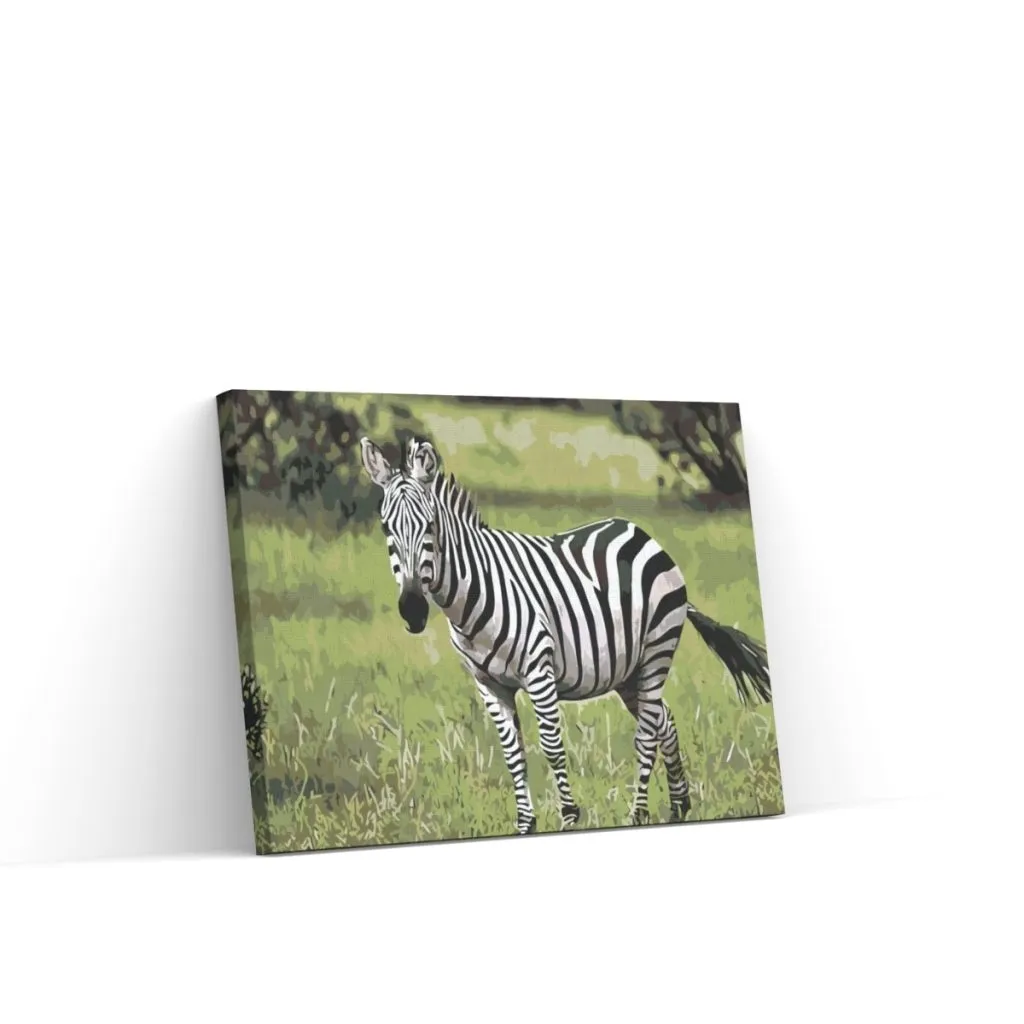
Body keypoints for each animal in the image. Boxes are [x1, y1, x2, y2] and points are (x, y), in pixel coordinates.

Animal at [360, 435, 772, 834]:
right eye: (386, 528)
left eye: (430, 526)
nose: (413, 609)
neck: (471, 595)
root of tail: (641, 533)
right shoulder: (488, 684)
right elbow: (513, 754)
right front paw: (525, 824)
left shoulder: (539, 671)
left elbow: (552, 746)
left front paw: (570, 817)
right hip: (629, 670)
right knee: (662, 721)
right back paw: (678, 806)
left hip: (658, 649)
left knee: (646, 733)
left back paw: (638, 814)